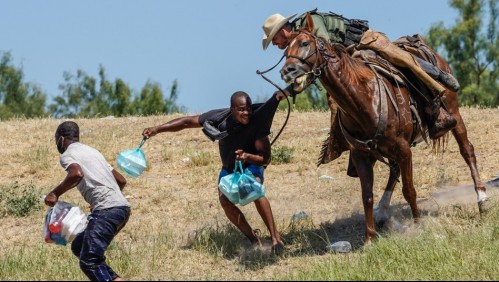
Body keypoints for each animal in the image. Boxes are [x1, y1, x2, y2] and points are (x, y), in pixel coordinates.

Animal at [282, 12, 492, 245]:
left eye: (305, 43)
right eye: (285, 50)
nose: (287, 71)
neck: (363, 97)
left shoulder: (403, 149)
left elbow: (409, 190)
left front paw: (418, 225)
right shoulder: (361, 155)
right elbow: (367, 196)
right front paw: (369, 238)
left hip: (454, 113)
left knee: (467, 151)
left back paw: (482, 199)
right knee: (394, 170)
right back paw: (382, 211)